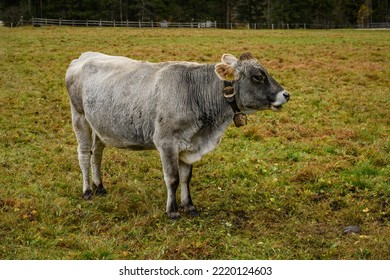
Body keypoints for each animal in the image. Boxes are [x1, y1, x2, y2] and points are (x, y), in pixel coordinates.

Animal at [65, 52, 288, 219]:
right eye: (257, 77)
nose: (286, 94)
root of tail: (84, 57)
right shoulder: (166, 143)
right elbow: (172, 178)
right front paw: (172, 211)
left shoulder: (190, 144)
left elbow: (186, 178)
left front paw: (189, 205)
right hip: (79, 117)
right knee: (84, 154)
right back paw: (87, 191)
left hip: (100, 126)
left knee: (97, 154)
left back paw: (100, 186)